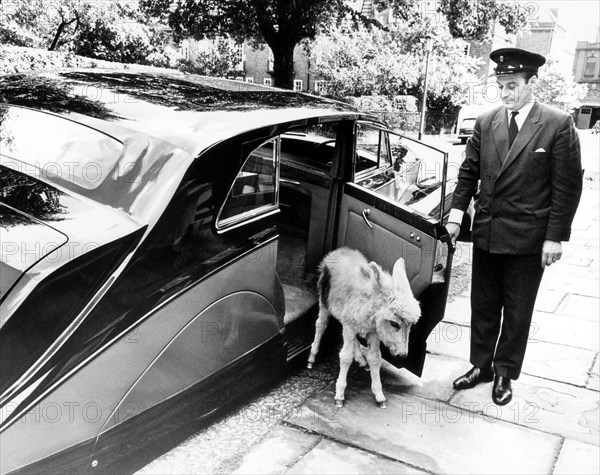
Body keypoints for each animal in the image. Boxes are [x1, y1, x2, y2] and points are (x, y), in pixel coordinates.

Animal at [308, 249, 420, 410]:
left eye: (411, 326)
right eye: (394, 324)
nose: (403, 355)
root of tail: (339, 251)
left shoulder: (373, 332)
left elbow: (374, 359)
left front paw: (379, 396)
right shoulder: (349, 326)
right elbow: (346, 357)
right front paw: (339, 396)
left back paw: (362, 360)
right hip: (324, 302)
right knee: (321, 324)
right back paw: (311, 358)